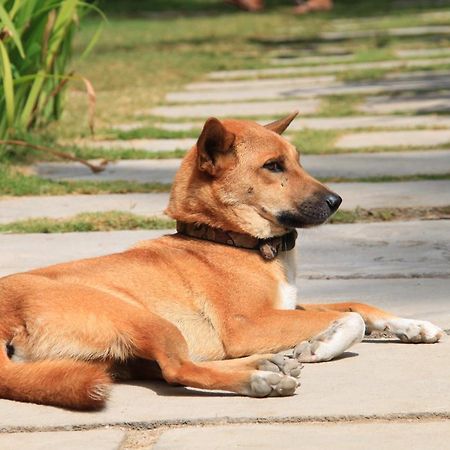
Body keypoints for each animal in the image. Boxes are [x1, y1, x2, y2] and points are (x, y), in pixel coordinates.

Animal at [0, 111, 442, 408]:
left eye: (298, 160)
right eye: (273, 166)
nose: (337, 201)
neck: (227, 238)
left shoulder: (285, 308)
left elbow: (357, 304)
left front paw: (413, 325)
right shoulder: (248, 325)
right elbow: (351, 319)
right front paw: (322, 345)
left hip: (125, 353)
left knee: (172, 367)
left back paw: (269, 364)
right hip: (142, 316)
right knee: (178, 370)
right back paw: (260, 380)